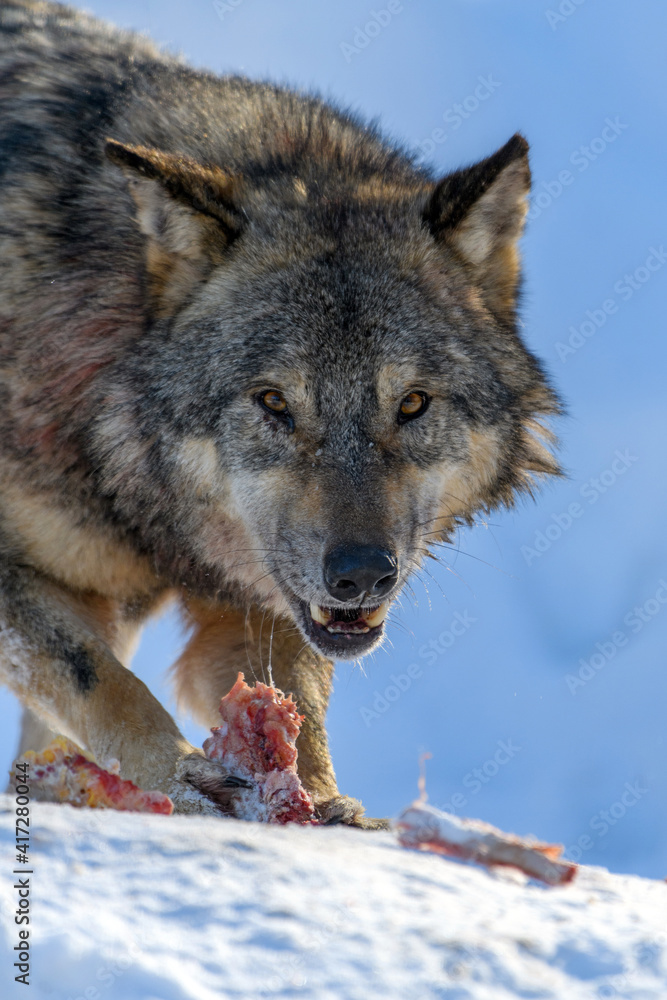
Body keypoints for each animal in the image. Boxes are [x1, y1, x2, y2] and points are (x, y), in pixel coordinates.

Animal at [0, 0, 560, 820]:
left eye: (412, 403)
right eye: (273, 402)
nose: (361, 575)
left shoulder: (257, 608)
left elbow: (295, 706)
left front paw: (318, 804)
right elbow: (102, 684)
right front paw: (184, 779)